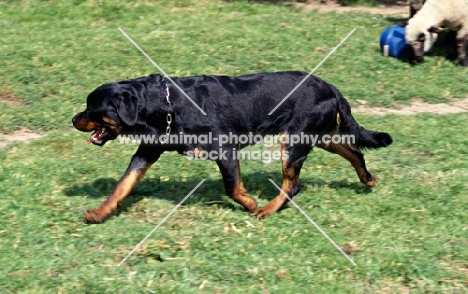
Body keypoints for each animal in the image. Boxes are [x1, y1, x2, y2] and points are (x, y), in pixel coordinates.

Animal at [73, 71, 394, 223]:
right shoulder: (147, 151)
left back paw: (266, 210)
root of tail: (331, 87)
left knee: (292, 185)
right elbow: (122, 185)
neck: (164, 106)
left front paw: (250, 203)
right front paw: (99, 213)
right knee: (354, 150)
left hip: (295, 141)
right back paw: (367, 179)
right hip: (320, 134)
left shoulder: (224, 150)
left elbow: (232, 187)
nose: (73, 119)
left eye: (91, 109)